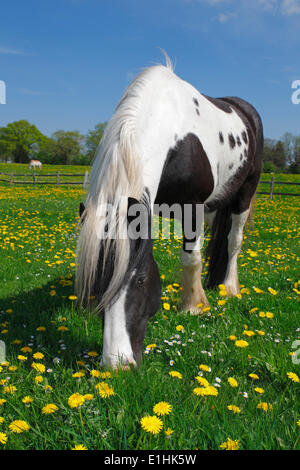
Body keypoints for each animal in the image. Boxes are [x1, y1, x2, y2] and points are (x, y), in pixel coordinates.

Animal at [76, 56, 264, 370]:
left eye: (140, 280)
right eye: (97, 280)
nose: (118, 364)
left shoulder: (193, 207)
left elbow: (191, 258)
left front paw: (192, 306)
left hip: (244, 195)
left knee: (233, 241)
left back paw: (228, 287)